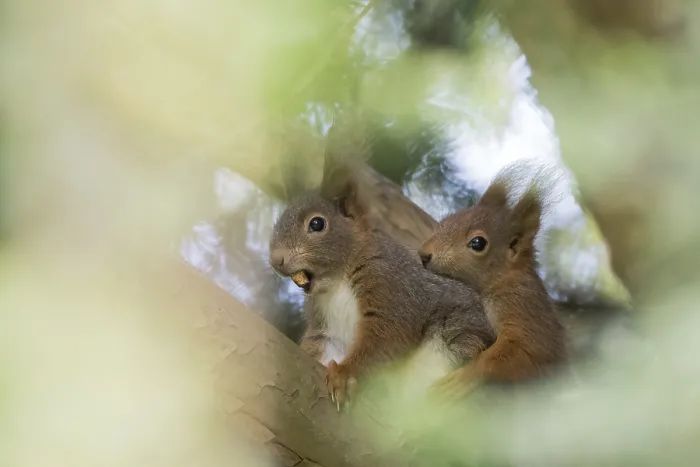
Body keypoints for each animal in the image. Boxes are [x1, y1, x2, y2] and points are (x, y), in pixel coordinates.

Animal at [269, 162, 495, 409]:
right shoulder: (325, 326)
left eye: (317, 223)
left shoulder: (391, 283)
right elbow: (322, 346)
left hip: (456, 346)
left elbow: (387, 335)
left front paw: (344, 374)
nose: (275, 260)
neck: (336, 281)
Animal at [418, 163, 569, 400]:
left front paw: (461, 379)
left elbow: (521, 350)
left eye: (478, 243)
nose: (423, 254)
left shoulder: (523, 308)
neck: (503, 280)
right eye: (446, 220)